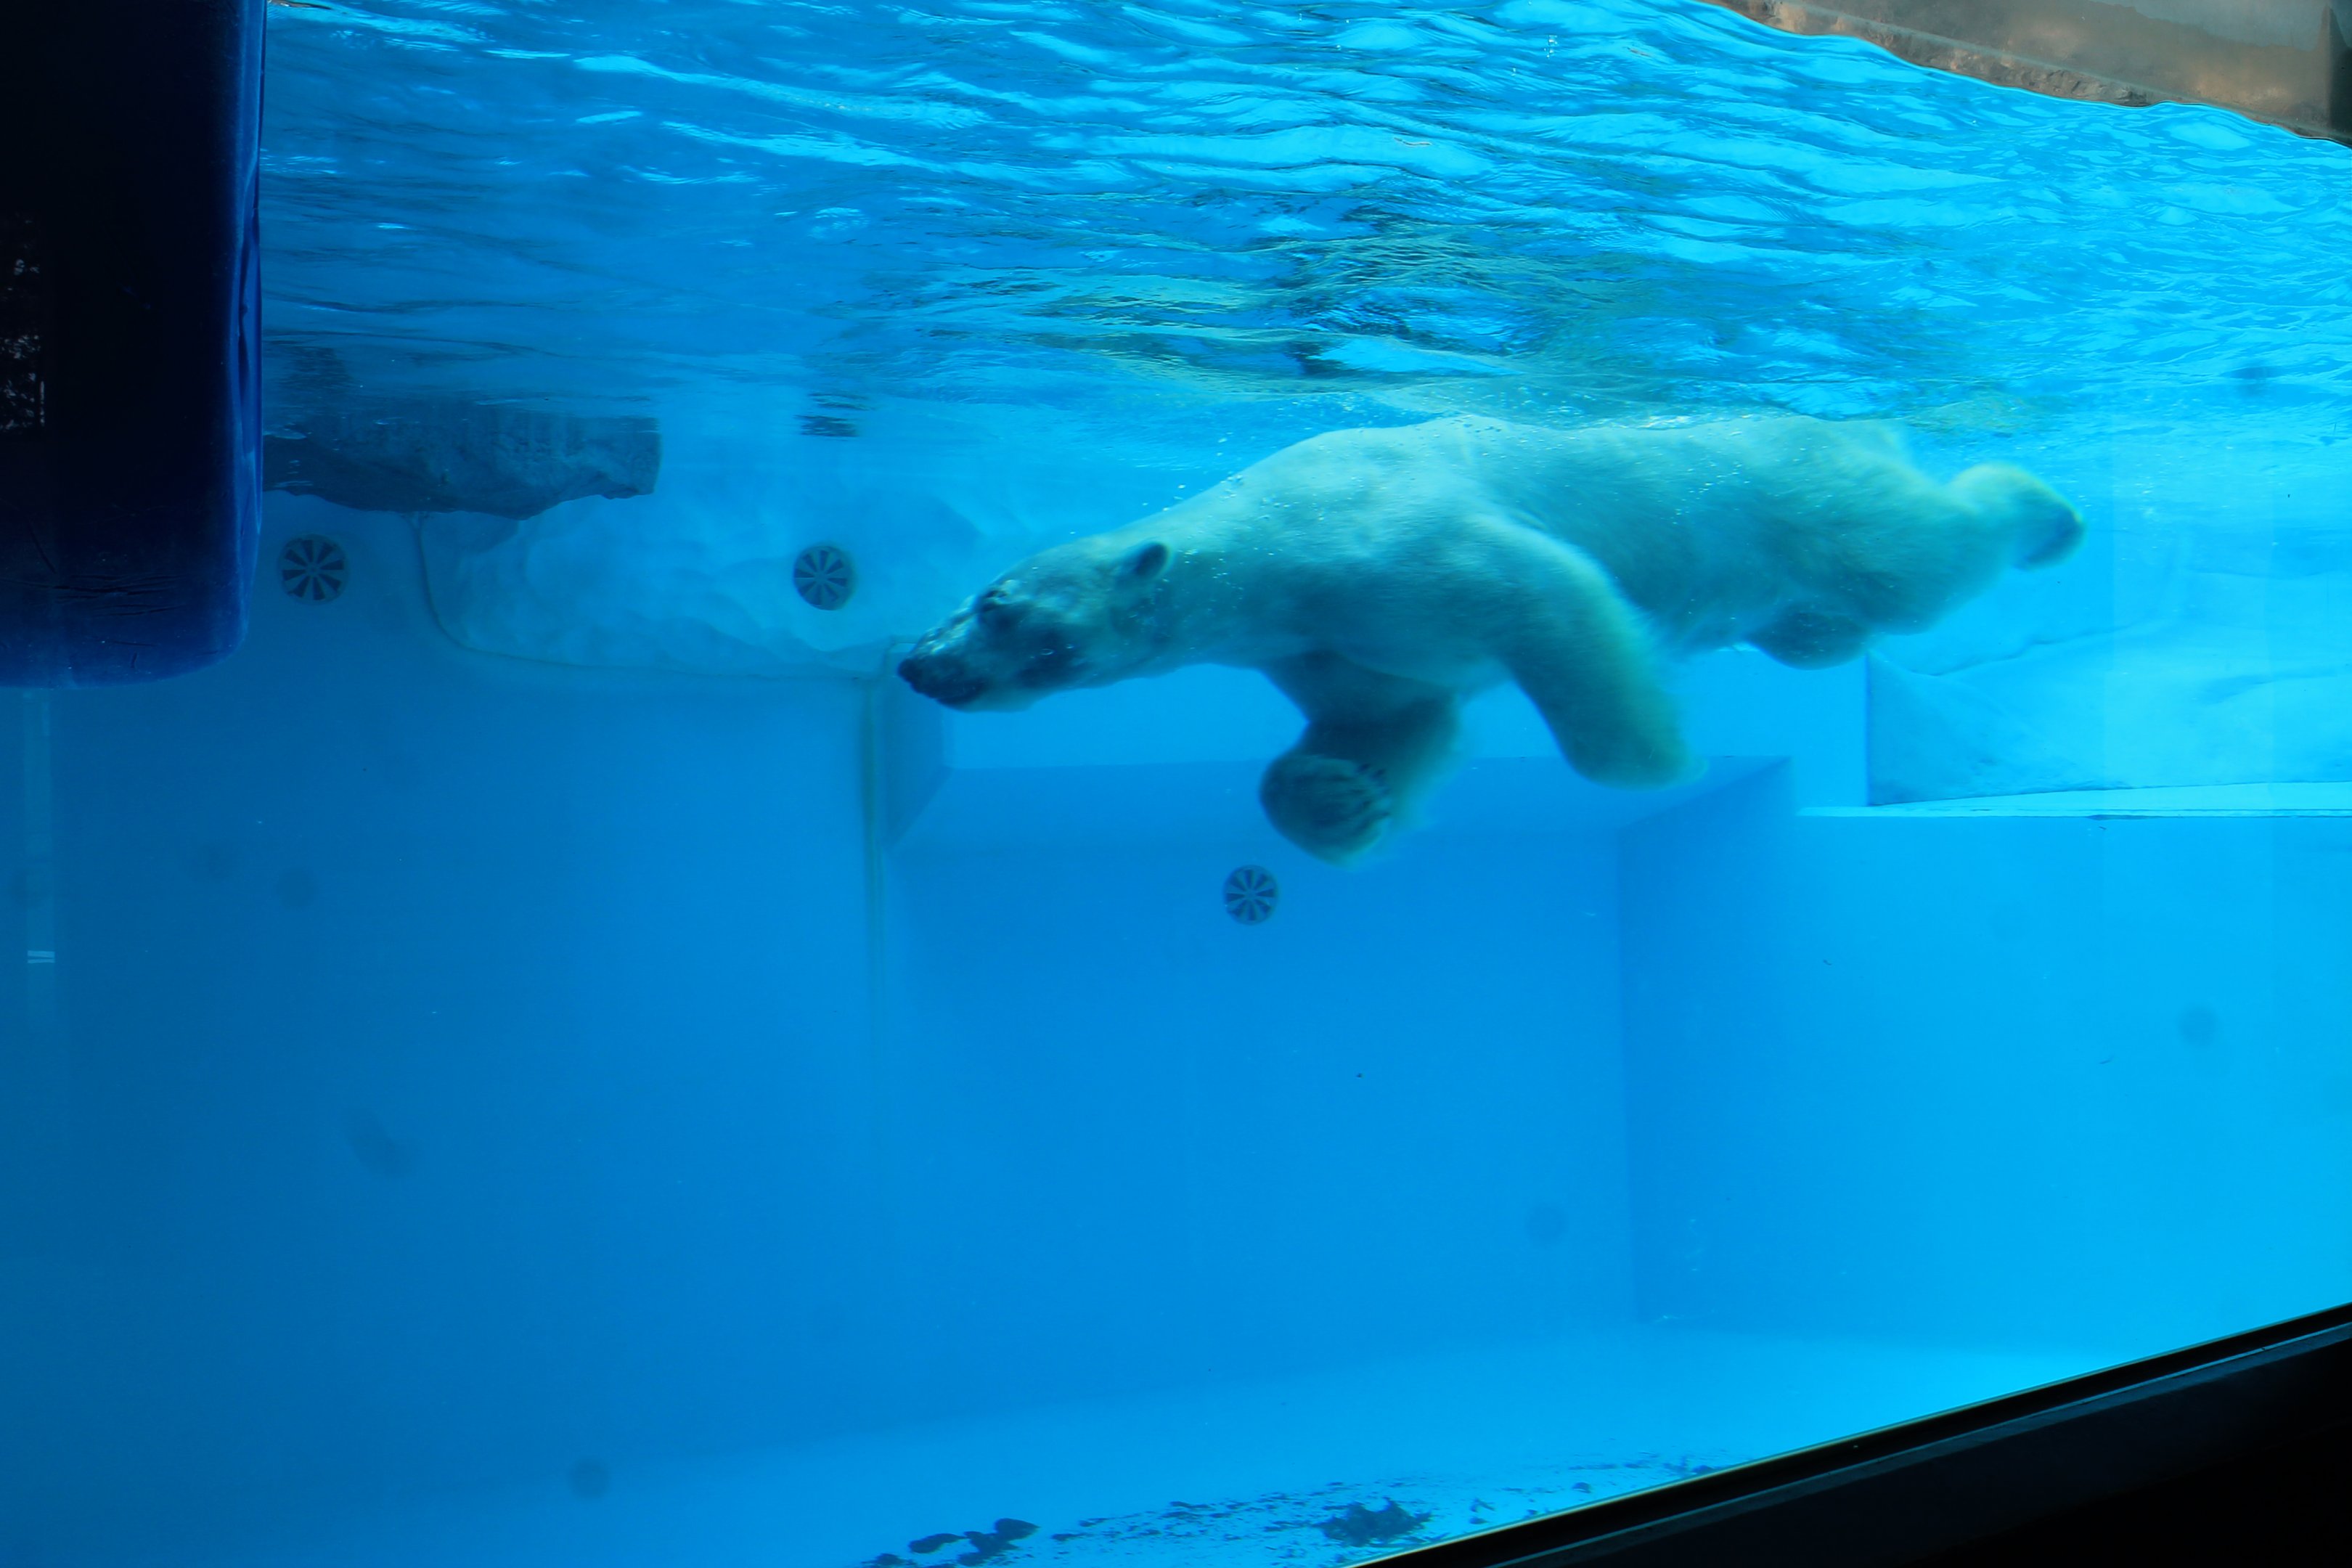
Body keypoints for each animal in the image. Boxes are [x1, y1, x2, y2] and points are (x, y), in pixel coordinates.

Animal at [898, 414, 2082, 863]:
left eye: (999, 606)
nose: (920, 666)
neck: (1263, 551)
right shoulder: (1323, 645)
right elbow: (1393, 717)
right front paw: (1340, 799)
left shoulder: (1376, 548)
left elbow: (1547, 594)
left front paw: (1656, 758)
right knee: (1828, 623)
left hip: (1793, 495)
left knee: (1917, 559)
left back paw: (2046, 511)